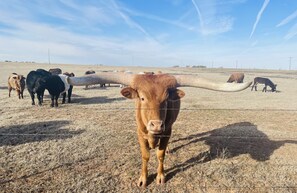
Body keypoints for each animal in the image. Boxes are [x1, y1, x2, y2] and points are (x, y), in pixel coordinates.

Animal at [67, 72, 252, 187]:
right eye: (142, 98)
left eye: (166, 99)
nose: (156, 125)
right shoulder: (140, 133)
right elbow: (145, 155)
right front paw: (143, 179)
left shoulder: (167, 132)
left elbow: (160, 155)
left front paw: (161, 176)